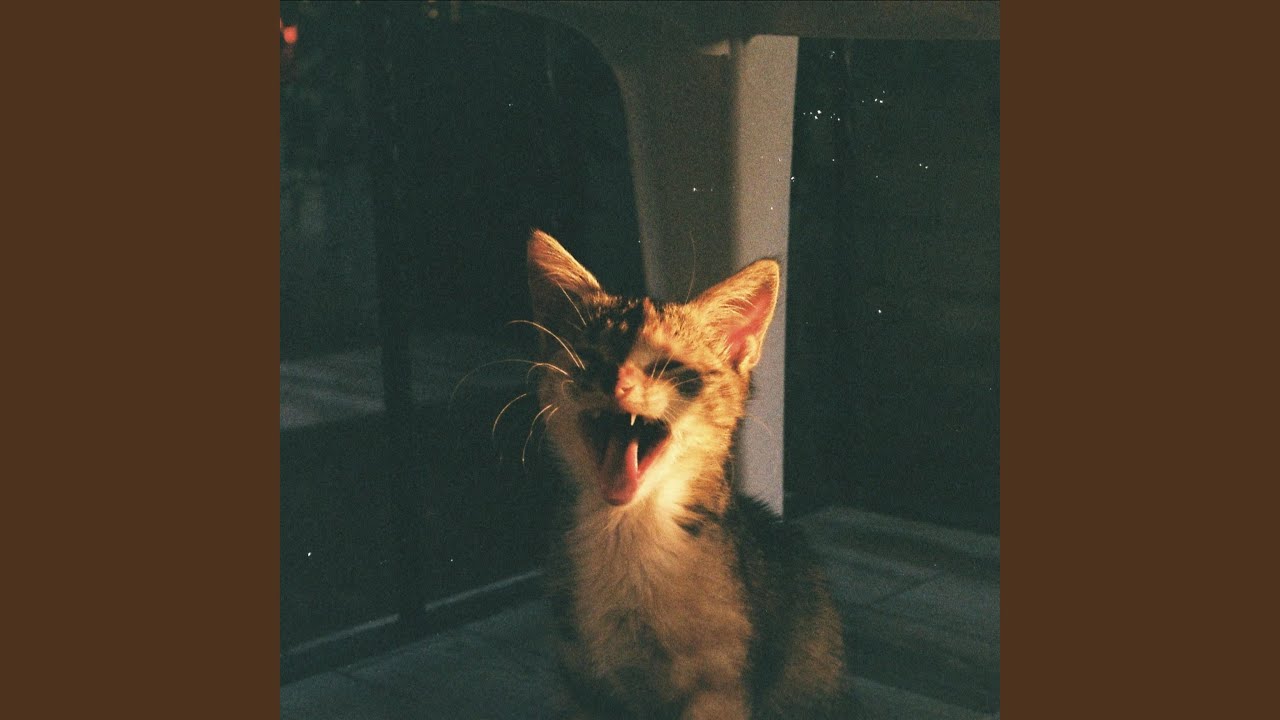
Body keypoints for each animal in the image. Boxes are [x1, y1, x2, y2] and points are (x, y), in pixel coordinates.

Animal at [526, 230, 848, 719]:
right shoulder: (579, 681)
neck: (632, 532)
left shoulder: (719, 687)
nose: (616, 382)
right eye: (588, 357)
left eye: (670, 366)